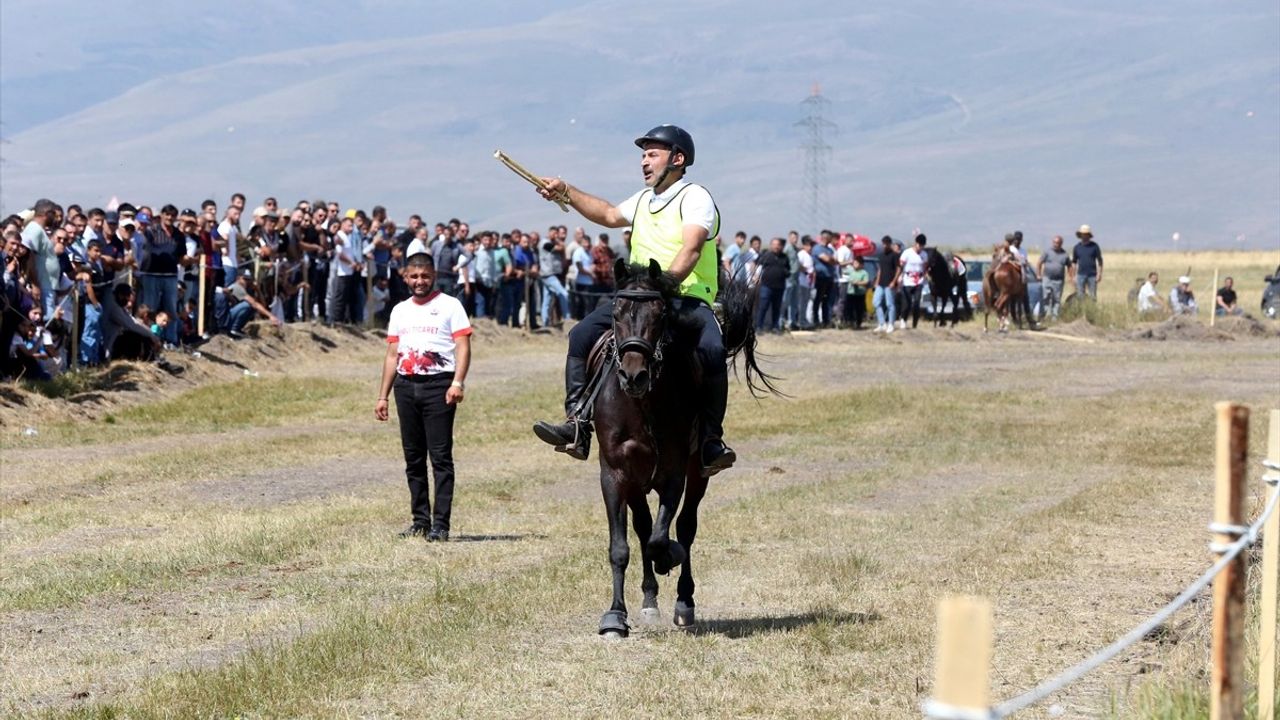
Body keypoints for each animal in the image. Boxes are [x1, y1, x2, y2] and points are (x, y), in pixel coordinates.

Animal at [586, 256, 773, 632]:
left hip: (698, 471)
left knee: (686, 528)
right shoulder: (614, 473)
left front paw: (668, 557)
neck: (642, 405)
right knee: (643, 528)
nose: (634, 375)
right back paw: (649, 599)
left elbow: (662, 537)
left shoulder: (673, 473)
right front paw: (615, 615)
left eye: (659, 315)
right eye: (615, 312)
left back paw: (684, 600)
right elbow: (622, 546)